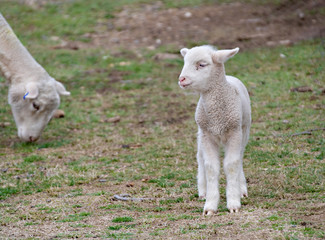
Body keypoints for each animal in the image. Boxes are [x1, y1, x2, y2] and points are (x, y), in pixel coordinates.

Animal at [177, 45, 251, 216]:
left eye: (201, 64)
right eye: (185, 62)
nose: (181, 79)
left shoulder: (234, 132)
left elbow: (232, 164)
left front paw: (233, 203)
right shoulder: (207, 135)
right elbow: (210, 167)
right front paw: (210, 206)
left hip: (244, 130)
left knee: (240, 157)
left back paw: (241, 187)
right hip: (200, 133)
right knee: (200, 157)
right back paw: (203, 190)